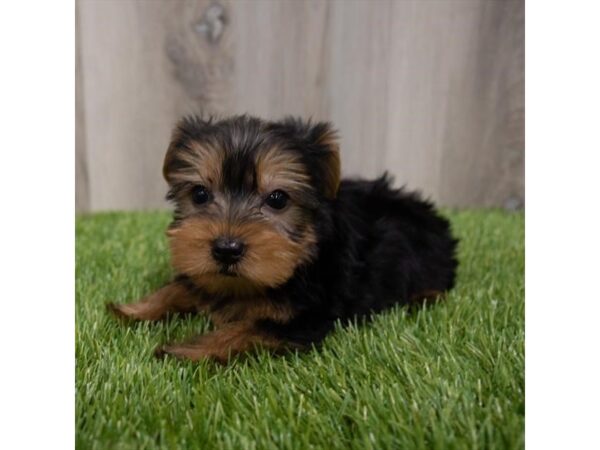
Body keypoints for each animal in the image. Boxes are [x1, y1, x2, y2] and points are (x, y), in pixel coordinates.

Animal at [108, 115, 458, 362]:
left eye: (278, 199)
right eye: (200, 194)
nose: (226, 249)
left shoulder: (309, 315)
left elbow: (250, 327)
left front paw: (187, 350)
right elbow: (182, 285)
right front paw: (134, 309)